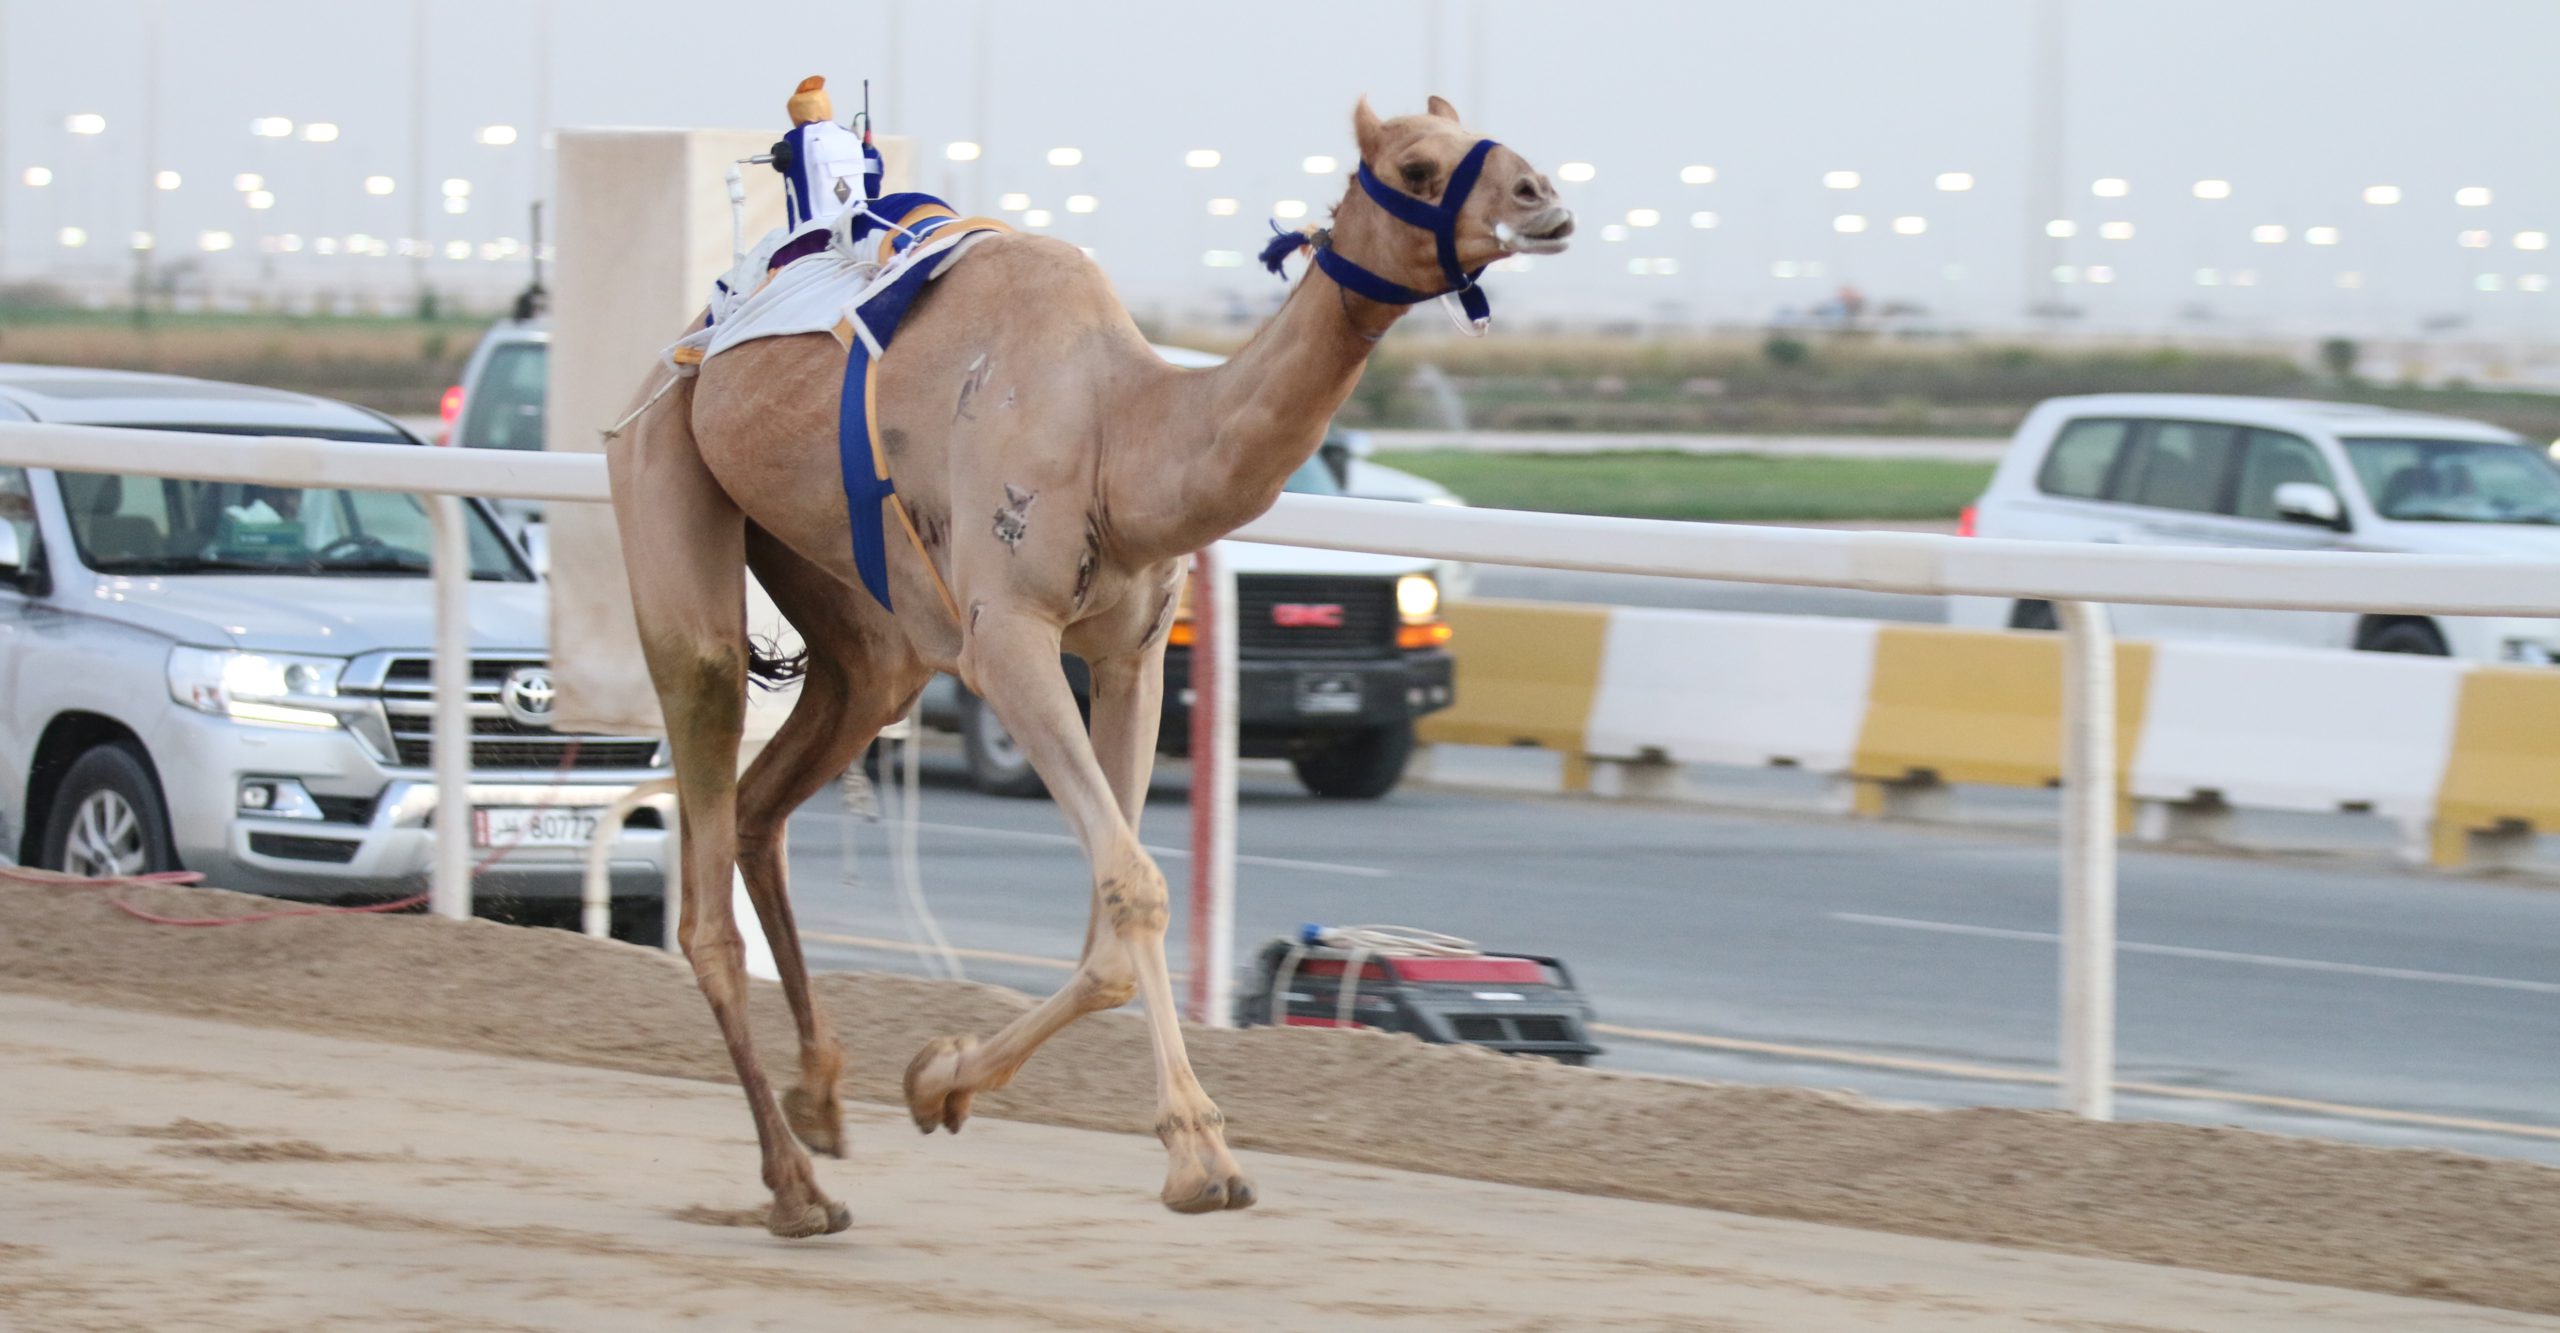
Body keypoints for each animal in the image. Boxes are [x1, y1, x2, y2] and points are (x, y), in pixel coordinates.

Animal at [614, 95, 1576, 1238]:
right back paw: (797, 1188)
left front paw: (938, 1078)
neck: (1122, 434)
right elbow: (1134, 886)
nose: (1546, 201)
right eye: (1420, 167)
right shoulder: (1007, 636)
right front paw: (1200, 1157)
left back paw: (821, 1098)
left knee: (773, 796)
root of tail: (696, 337)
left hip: (859, 614)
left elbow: (1107, 927)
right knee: (704, 825)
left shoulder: (1133, 653)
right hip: (662, 469)